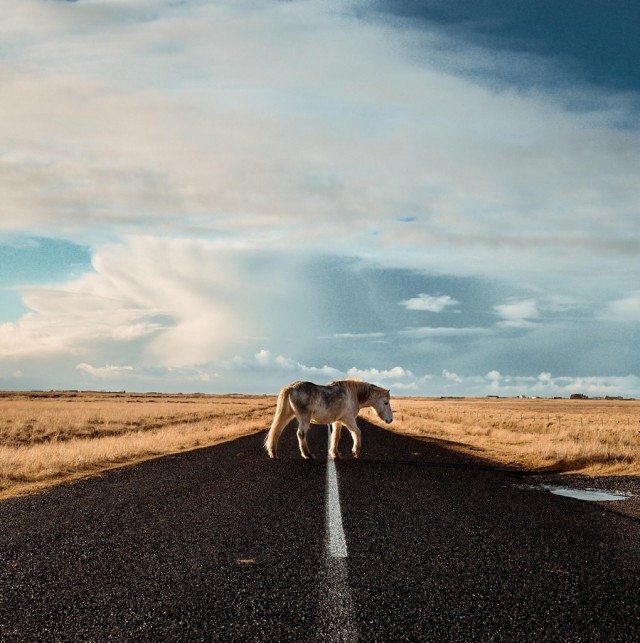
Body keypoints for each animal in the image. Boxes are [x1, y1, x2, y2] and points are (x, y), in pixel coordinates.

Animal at [262, 380, 392, 460]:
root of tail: (291, 387)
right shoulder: (348, 420)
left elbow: (336, 437)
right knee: (301, 434)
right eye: (386, 402)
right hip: (304, 419)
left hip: (286, 415)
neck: (351, 395)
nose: (390, 420)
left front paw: (335, 454)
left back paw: (273, 453)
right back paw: (308, 455)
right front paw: (356, 451)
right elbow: (357, 432)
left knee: (277, 431)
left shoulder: (338, 422)